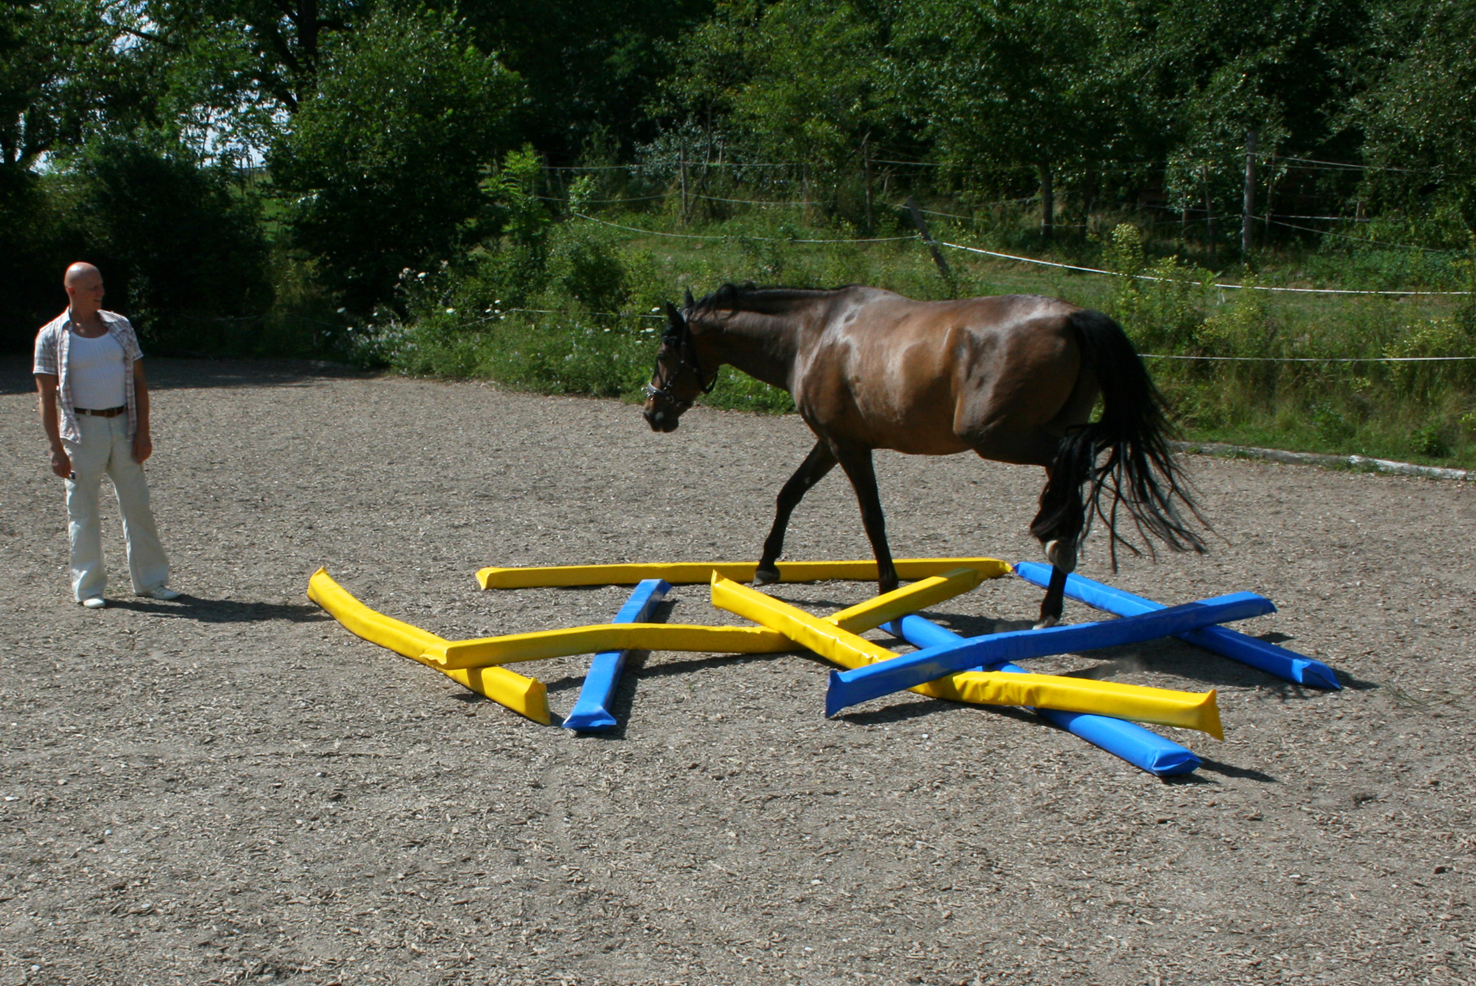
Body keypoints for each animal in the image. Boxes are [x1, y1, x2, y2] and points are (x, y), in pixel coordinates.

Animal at [642, 283, 1206, 627]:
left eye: (665, 352)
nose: (653, 413)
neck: (812, 333)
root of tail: (1072, 317)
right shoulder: (831, 442)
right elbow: (790, 494)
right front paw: (765, 566)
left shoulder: (849, 446)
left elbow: (872, 517)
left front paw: (889, 587)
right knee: (1070, 473)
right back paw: (1052, 589)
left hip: (999, 437)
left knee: (1076, 463)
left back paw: (1055, 549)